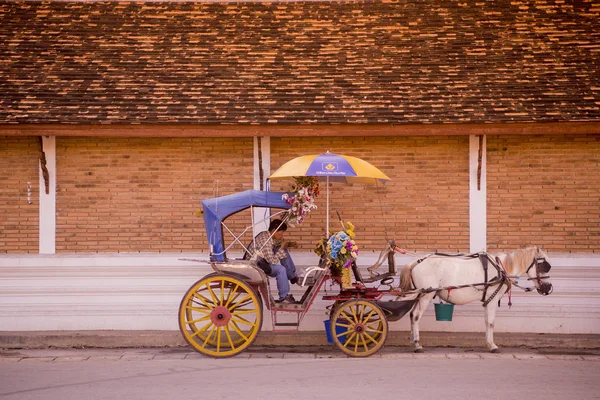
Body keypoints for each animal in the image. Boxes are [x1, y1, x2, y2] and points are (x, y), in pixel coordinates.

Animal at [398, 245, 552, 352]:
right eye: (544, 265)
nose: (549, 287)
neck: (501, 269)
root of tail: (416, 263)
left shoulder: (488, 300)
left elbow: (486, 322)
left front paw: (488, 343)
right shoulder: (493, 300)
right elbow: (491, 322)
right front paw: (493, 346)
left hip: (420, 295)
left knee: (411, 315)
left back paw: (412, 340)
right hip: (426, 295)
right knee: (416, 316)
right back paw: (417, 344)